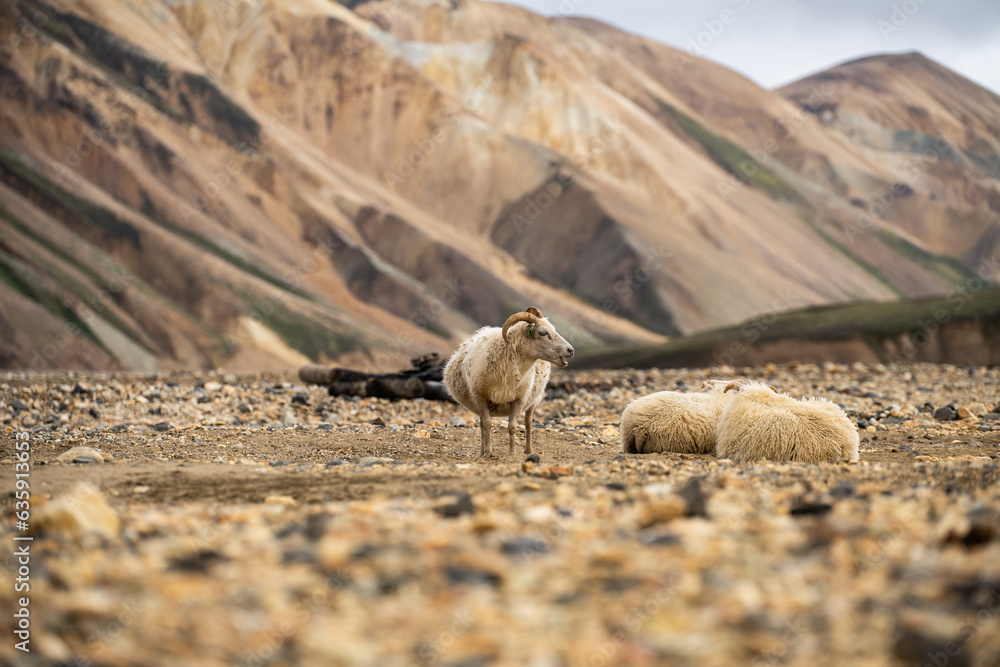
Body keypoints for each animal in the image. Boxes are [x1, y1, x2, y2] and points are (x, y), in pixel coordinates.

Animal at [443, 307, 575, 457]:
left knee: (528, 423)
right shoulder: (480, 397)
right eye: (543, 332)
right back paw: (482, 452)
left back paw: (528, 450)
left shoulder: (519, 399)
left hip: (534, 401)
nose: (571, 350)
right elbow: (487, 425)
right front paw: (487, 452)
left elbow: (512, 426)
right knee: (482, 424)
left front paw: (512, 452)